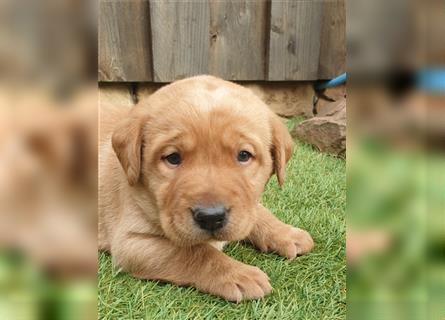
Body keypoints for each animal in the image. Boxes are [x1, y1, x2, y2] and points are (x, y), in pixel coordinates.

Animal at [98, 76, 312, 302]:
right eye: (173, 158)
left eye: (244, 155)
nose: (211, 217)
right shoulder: (130, 243)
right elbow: (194, 252)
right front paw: (238, 274)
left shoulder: (246, 206)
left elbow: (258, 212)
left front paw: (286, 233)